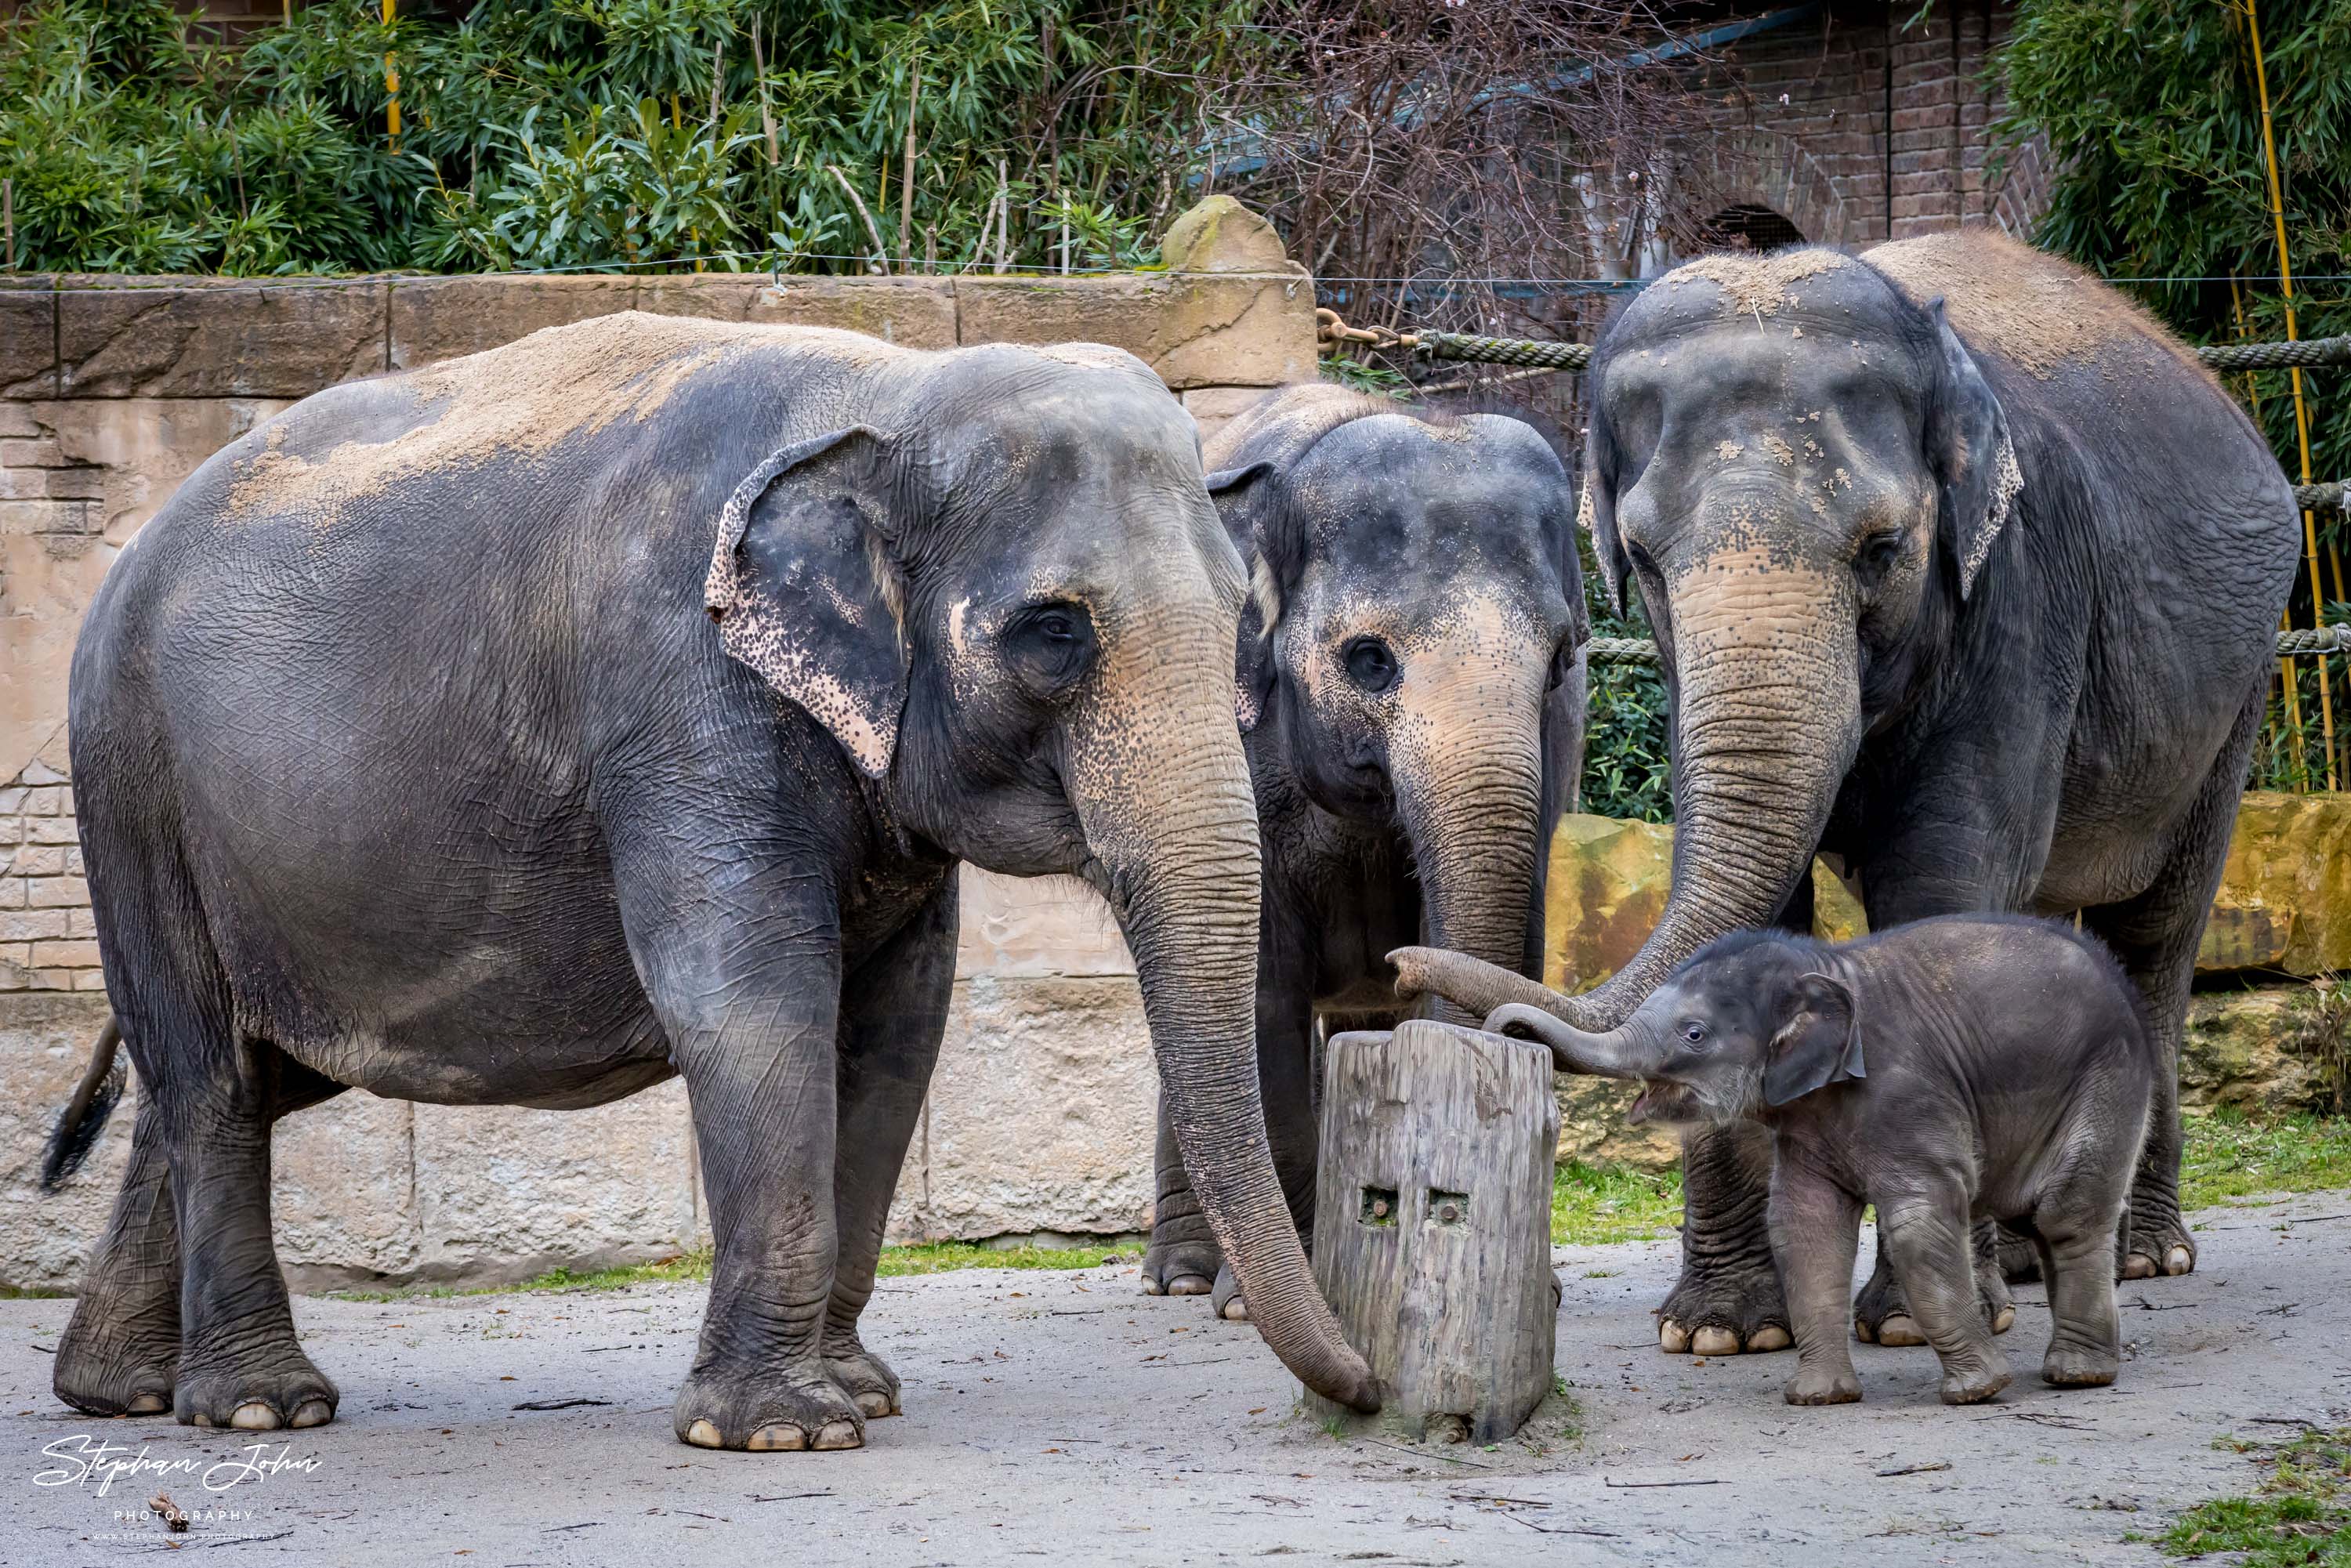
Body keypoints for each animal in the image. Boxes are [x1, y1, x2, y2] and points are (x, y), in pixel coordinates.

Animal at [41, 313, 1373, 1458]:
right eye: (1055, 632)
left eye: (1238, 619)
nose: (1363, 1384)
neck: (886, 392)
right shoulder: (681, 697)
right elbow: (755, 1001)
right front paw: (782, 1429)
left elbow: (898, 1026)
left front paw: (858, 1393)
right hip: (133, 788)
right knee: (208, 1073)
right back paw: (261, 1408)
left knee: (225, 1077)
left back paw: (123, 1391)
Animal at [1133, 386, 1589, 1316]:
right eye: (1369, 660)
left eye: (1561, 658)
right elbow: (1260, 994)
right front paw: (1263, 1299)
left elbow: (1502, 959)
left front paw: (1542, 1288)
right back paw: (1183, 1276)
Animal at [1486, 912, 2154, 1401]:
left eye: (1694, 1034)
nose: (1503, 1026)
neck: (1825, 965)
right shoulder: (1807, 1121)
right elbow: (1804, 1226)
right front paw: (1818, 1398)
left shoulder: (1907, 1093)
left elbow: (1919, 1222)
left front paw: (1978, 1392)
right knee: (2041, 1219)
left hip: (2107, 1078)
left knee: (2066, 1214)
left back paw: (2078, 1375)